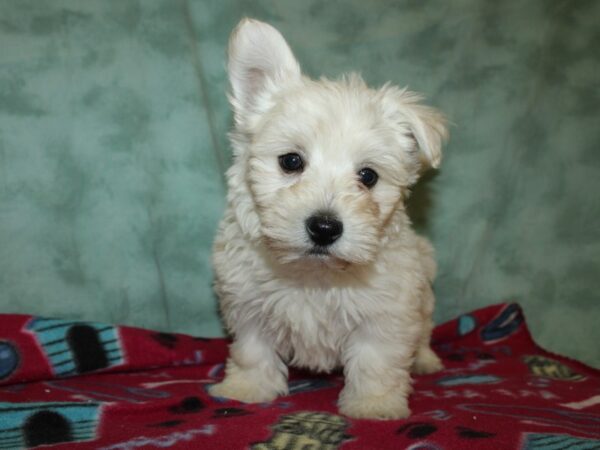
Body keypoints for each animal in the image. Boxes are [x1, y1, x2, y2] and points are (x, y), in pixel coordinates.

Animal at [209, 17, 448, 418]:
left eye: (368, 176)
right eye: (291, 161)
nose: (324, 228)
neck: (316, 274)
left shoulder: (386, 314)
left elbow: (376, 361)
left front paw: (374, 405)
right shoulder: (248, 304)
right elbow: (252, 350)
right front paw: (246, 389)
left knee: (426, 329)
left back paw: (425, 360)